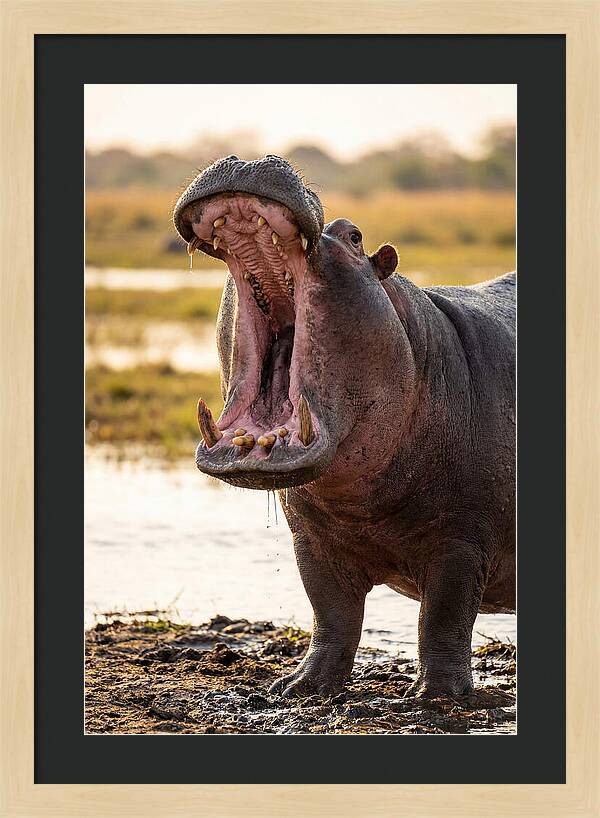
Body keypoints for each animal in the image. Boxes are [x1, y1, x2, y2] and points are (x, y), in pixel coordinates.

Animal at [173, 155, 515, 699]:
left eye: (354, 236)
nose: (249, 158)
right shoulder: (311, 540)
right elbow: (331, 612)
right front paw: (299, 687)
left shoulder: (463, 542)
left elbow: (444, 618)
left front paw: (436, 698)